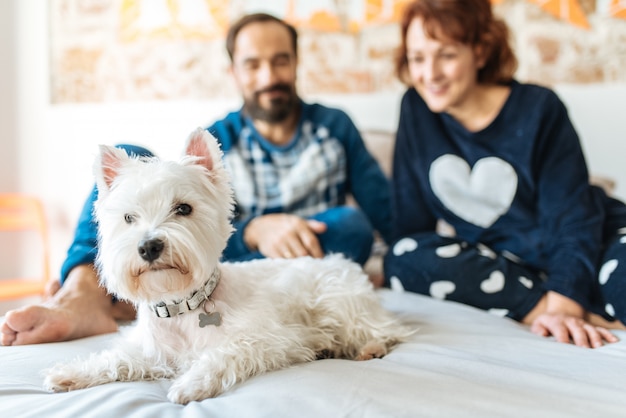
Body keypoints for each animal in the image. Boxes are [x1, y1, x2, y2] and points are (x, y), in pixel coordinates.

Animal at [41, 129, 408, 404]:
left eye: (183, 208)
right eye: (129, 218)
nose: (148, 247)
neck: (182, 306)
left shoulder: (272, 339)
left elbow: (225, 353)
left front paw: (191, 383)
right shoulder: (152, 350)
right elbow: (117, 359)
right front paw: (70, 373)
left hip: (338, 300)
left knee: (382, 330)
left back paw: (368, 348)